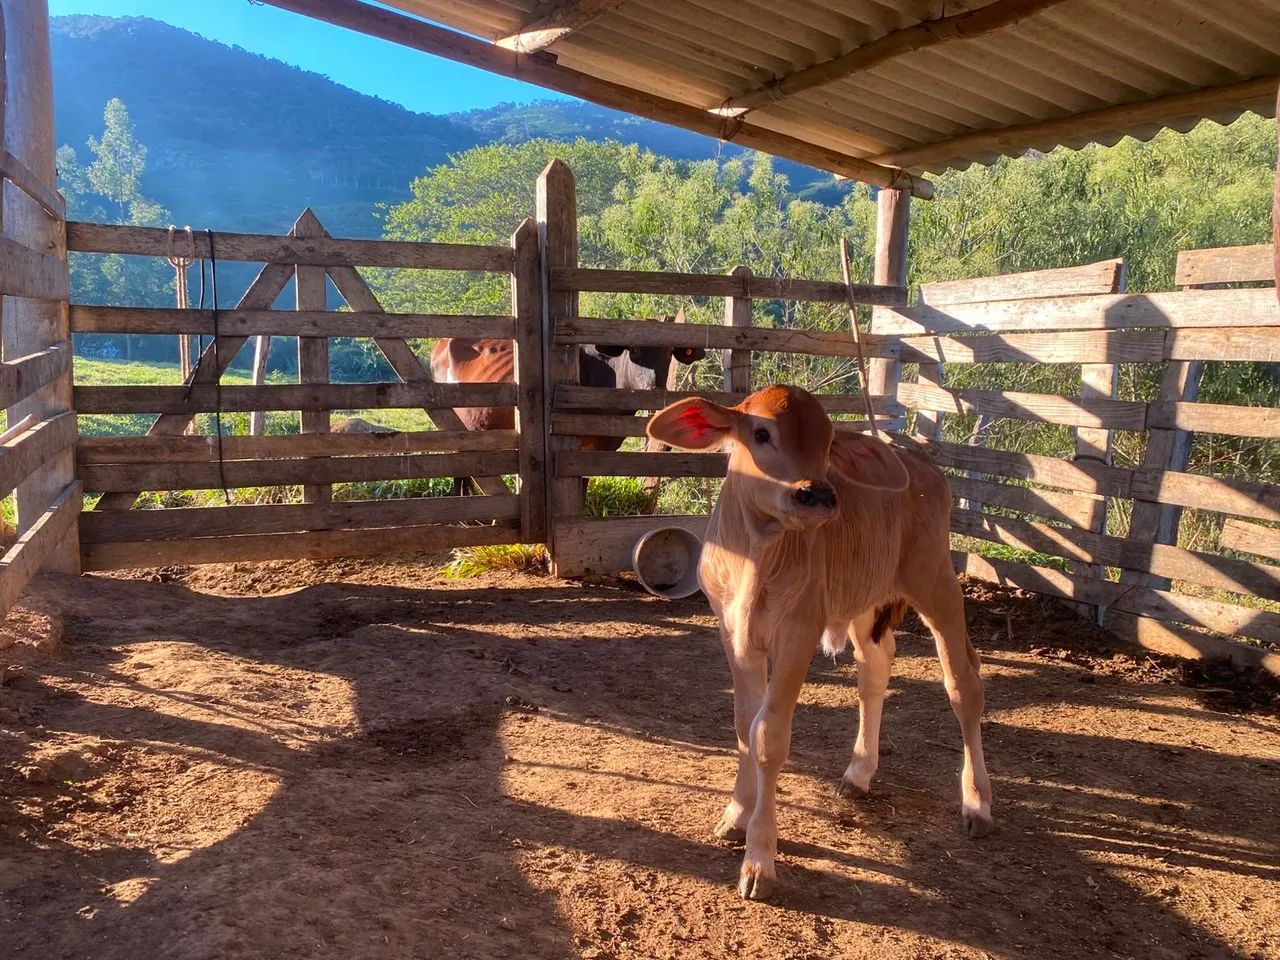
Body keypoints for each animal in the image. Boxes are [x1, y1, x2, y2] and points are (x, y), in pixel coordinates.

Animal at [646, 384, 991, 901]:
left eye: (829, 444)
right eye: (760, 432)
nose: (819, 495)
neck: (756, 557)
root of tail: (922, 465)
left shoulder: (798, 632)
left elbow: (768, 736)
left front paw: (760, 859)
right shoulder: (732, 633)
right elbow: (743, 725)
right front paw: (736, 815)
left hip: (936, 581)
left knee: (963, 684)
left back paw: (976, 802)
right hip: (864, 596)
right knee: (876, 667)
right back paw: (859, 773)